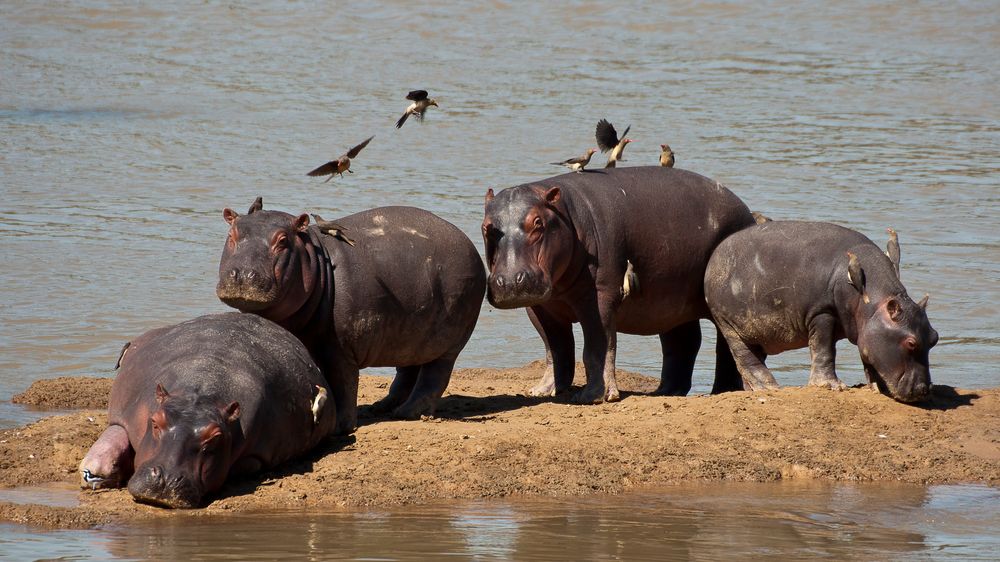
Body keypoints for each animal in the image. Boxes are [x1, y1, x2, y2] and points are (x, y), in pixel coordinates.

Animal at [217, 199, 486, 430]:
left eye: (282, 240)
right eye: (231, 235)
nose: (243, 274)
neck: (313, 257)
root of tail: (468, 242)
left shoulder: (340, 348)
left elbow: (343, 383)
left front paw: (340, 426)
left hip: (449, 341)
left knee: (434, 376)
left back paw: (408, 413)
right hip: (411, 333)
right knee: (407, 369)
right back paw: (382, 407)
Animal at [480, 164, 752, 400]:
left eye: (538, 223)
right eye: (486, 227)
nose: (509, 280)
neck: (565, 215)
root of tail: (745, 209)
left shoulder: (600, 297)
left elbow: (598, 345)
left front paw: (594, 396)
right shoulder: (540, 306)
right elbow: (556, 348)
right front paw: (544, 390)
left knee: (725, 346)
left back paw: (723, 391)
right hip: (672, 300)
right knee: (683, 341)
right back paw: (665, 392)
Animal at [704, 220, 936, 402]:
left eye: (934, 337)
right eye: (911, 343)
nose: (924, 390)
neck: (868, 295)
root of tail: (715, 255)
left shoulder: (866, 329)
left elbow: (867, 354)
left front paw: (875, 387)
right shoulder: (822, 313)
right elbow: (824, 349)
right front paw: (832, 386)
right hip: (729, 327)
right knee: (745, 358)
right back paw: (769, 387)